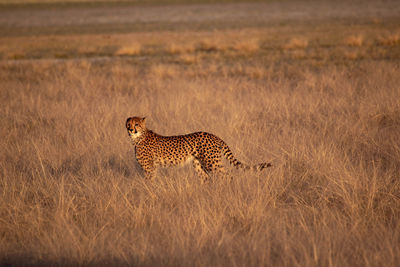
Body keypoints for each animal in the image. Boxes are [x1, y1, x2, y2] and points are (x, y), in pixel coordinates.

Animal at [127, 116, 272, 182]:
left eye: (137, 124)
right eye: (128, 124)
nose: (131, 129)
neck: (138, 137)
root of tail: (214, 135)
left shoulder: (149, 167)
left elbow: (149, 181)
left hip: (212, 163)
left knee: (227, 176)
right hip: (198, 164)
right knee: (206, 178)